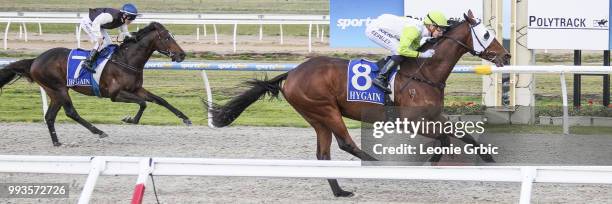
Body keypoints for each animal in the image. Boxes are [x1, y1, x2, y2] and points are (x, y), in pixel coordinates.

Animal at [0, 21, 190, 147]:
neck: (126, 60)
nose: (182, 55)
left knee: (50, 116)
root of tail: (35, 60)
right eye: (167, 38)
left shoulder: (136, 89)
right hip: (58, 89)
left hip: (54, 91)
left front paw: (185, 118)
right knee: (70, 112)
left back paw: (57, 142)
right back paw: (99, 131)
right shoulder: (115, 94)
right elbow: (143, 103)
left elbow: (160, 100)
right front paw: (129, 119)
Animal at [208, 10, 510, 197]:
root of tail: (291, 73)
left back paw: (340, 191)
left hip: (317, 118)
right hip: (326, 110)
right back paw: (378, 166)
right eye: (485, 35)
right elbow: (445, 138)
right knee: (346, 144)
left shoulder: (434, 115)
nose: (506, 56)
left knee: (323, 154)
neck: (425, 72)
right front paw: (430, 164)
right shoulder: (410, 121)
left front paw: (489, 158)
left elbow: (463, 134)